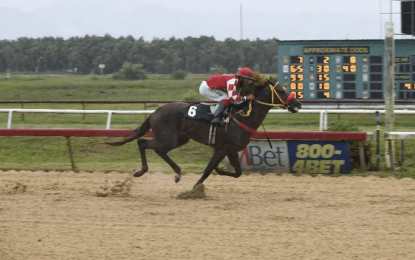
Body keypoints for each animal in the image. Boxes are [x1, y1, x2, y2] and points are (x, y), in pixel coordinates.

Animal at [107, 78, 302, 188]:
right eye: (282, 90)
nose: (298, 104)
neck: (241, 117)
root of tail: (156, 111)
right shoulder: (222, 149)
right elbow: (208, 170)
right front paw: (195, 189)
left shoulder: (232, 150)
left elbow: (237, 173)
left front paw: (220, 169)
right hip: (168, 138)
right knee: (143, 143)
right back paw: (141, 171)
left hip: (178, 139)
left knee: (158, 150)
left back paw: (177, 173)